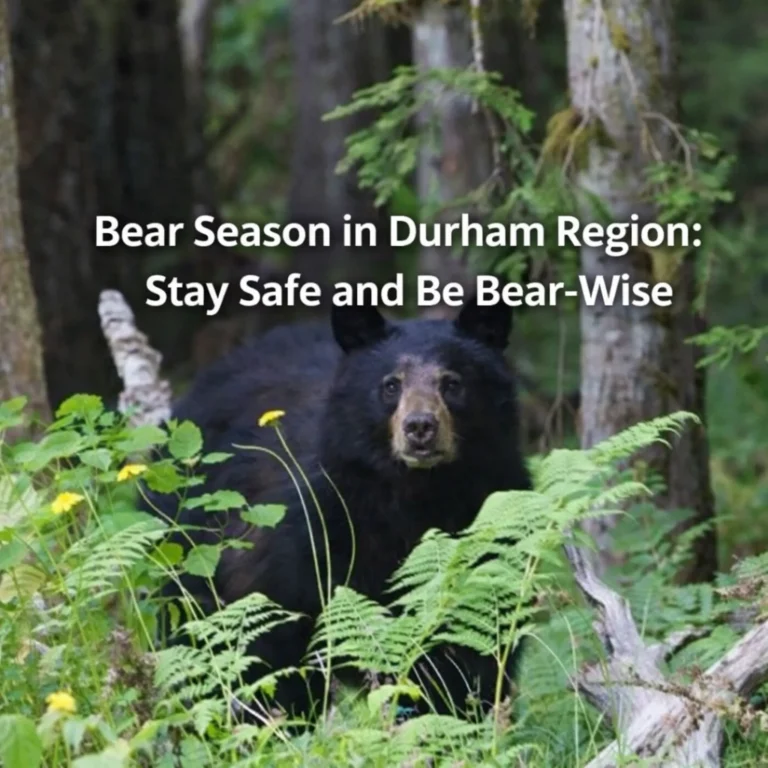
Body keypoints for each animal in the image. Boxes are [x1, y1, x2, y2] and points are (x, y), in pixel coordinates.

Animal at [144, 296, 532, 721]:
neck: (415, 498)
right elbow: (271, 646)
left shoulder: (490, 521)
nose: (420, 427)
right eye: (391, 385)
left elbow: (471, 654)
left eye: (452, 383)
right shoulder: (312, 535)